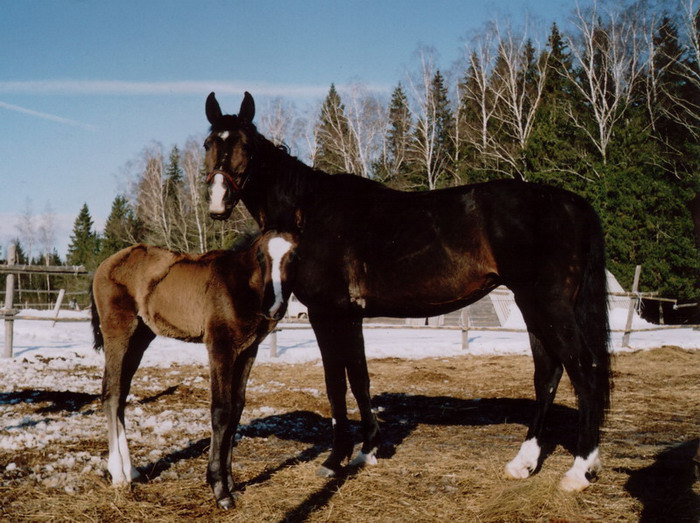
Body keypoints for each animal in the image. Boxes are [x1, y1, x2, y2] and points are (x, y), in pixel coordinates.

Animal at [91, 229, 298, 508]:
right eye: (261, 257)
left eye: (293, 256)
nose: (274, 306)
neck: (239, 284)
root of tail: (105, 265)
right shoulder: (220, 347)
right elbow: (221, 410)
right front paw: (220, 490)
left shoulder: (247, 351)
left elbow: (237, 408)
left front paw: (230, 483)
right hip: (118, 331)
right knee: (111, 394)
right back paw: (119, 476)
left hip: (140, 338)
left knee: (121, 395)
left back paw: (131, 470)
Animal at [200, 91, 608, 496]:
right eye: (209, 143)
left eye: (246, 146)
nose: (218, 201)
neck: (309, 211)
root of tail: (574, 204)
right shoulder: (351, 315)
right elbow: (359, 379)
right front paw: (367, 450)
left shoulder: (326, 313)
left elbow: (335, 383)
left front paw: (335, 459)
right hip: (533, 307)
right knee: (548, 375)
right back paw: (523, 464)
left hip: (547, 305)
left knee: (584, 371)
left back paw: (578, 471)